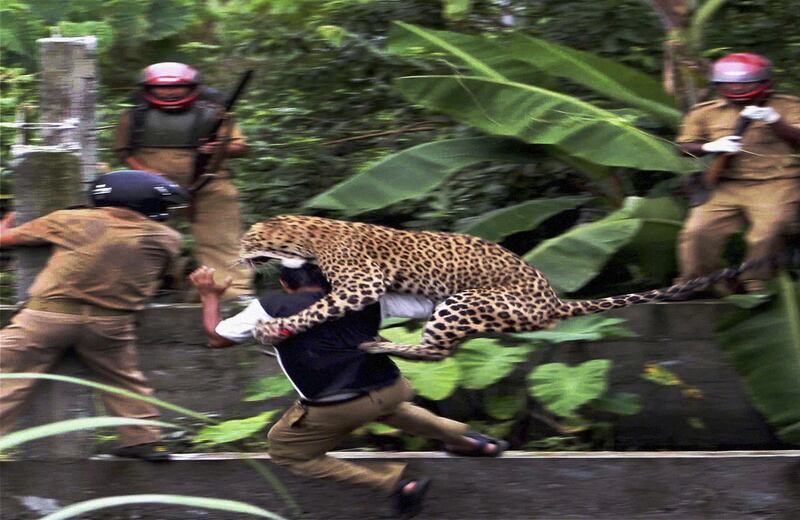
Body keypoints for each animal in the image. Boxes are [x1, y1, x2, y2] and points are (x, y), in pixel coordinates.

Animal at [239, 215, 749, 361]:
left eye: (247, 239)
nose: (237, 255)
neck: (303, 235)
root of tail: (553, 299)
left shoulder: (362, 283)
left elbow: (316, 308)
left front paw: (269, 329)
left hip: (462, 301)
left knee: (436, 353)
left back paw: (380, 345)